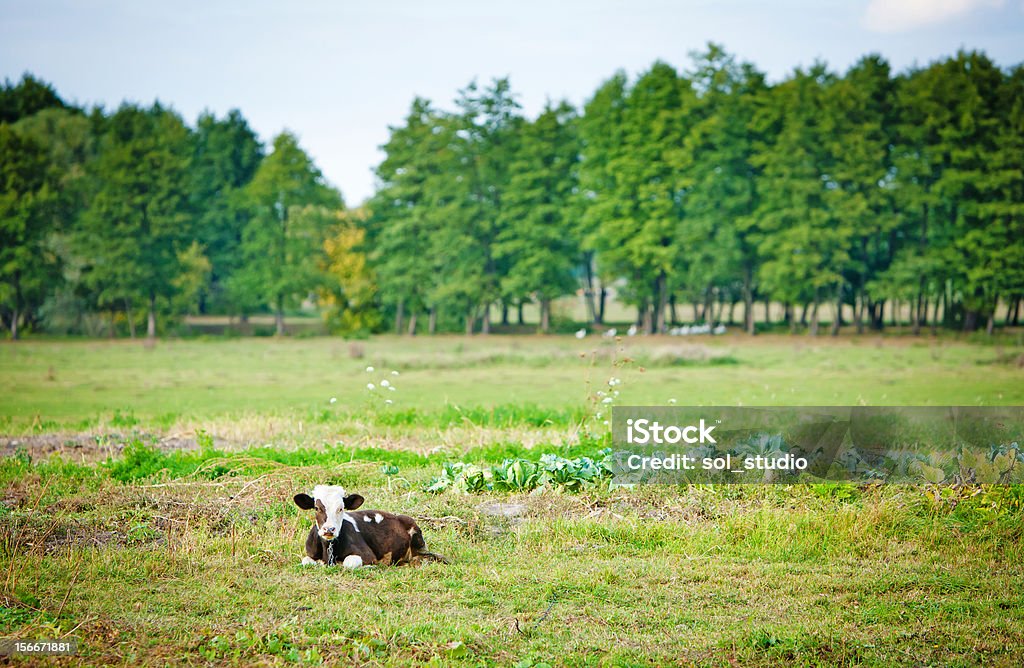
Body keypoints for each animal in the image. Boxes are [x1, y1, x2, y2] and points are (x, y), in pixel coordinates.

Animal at [290, 485, 446, 569]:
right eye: (317, 508)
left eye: (341, 508)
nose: (329, 529)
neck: (329, 552)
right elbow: (306, 561)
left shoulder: (367, 554)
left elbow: (349, 562)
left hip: (419, 544)